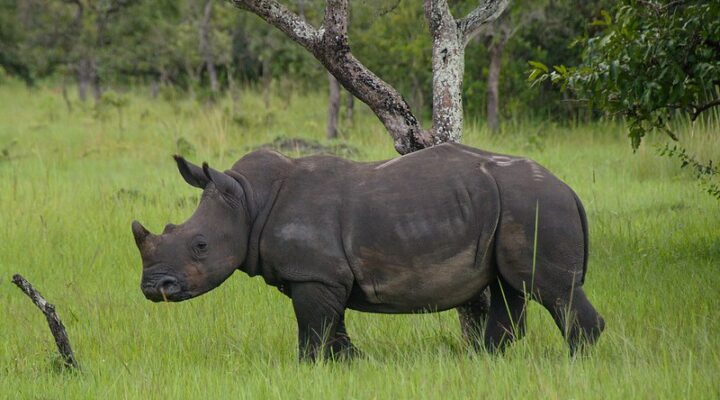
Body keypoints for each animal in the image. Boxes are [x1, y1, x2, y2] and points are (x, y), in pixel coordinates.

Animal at [131, 143, 604, 361]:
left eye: (200, 246)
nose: (154, 288)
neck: (248, 200)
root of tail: (570, 189)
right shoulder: (324, 275)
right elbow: (333, 326)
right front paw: (350, 364)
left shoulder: (314, 274)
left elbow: (314, 329)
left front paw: (308, 368)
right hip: (517, 206)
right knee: (510, 286)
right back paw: (485, 360)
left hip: (538, 205)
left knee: (550, 289)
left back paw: (576, 363)